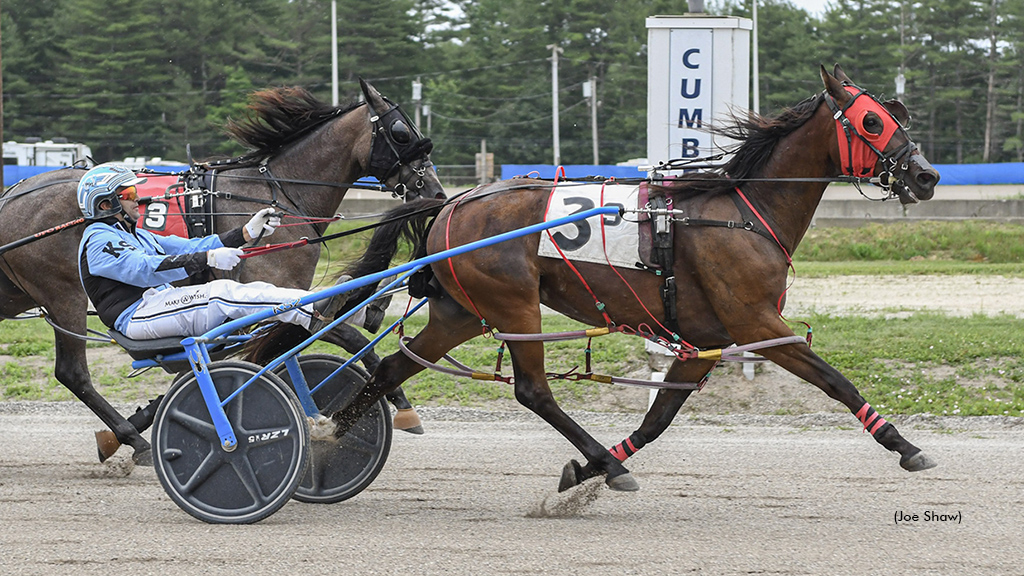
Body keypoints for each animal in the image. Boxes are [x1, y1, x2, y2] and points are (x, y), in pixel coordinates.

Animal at [2, 78, 446, 461]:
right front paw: (401, 402)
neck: (277, 192)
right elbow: (345, 336)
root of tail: (13, 195)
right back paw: (135, 442)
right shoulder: (280, 295)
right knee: (73, 373)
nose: (437, 193)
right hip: (65, 296)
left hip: (17, 293)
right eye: (402, 133)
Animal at [258, 63, 942, 487]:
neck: (740, 211)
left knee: (394, 368)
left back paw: (328, 434)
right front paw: (906, 447)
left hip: (463, 310)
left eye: (895, 116)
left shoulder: (706, 337)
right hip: (513, 306)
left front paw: (586, 471)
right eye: (874, 121)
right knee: (532, 390)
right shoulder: (755, 321)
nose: (927, 174)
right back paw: (605, 466)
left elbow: (658, 420)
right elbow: (835, 380)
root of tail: (451, 203)